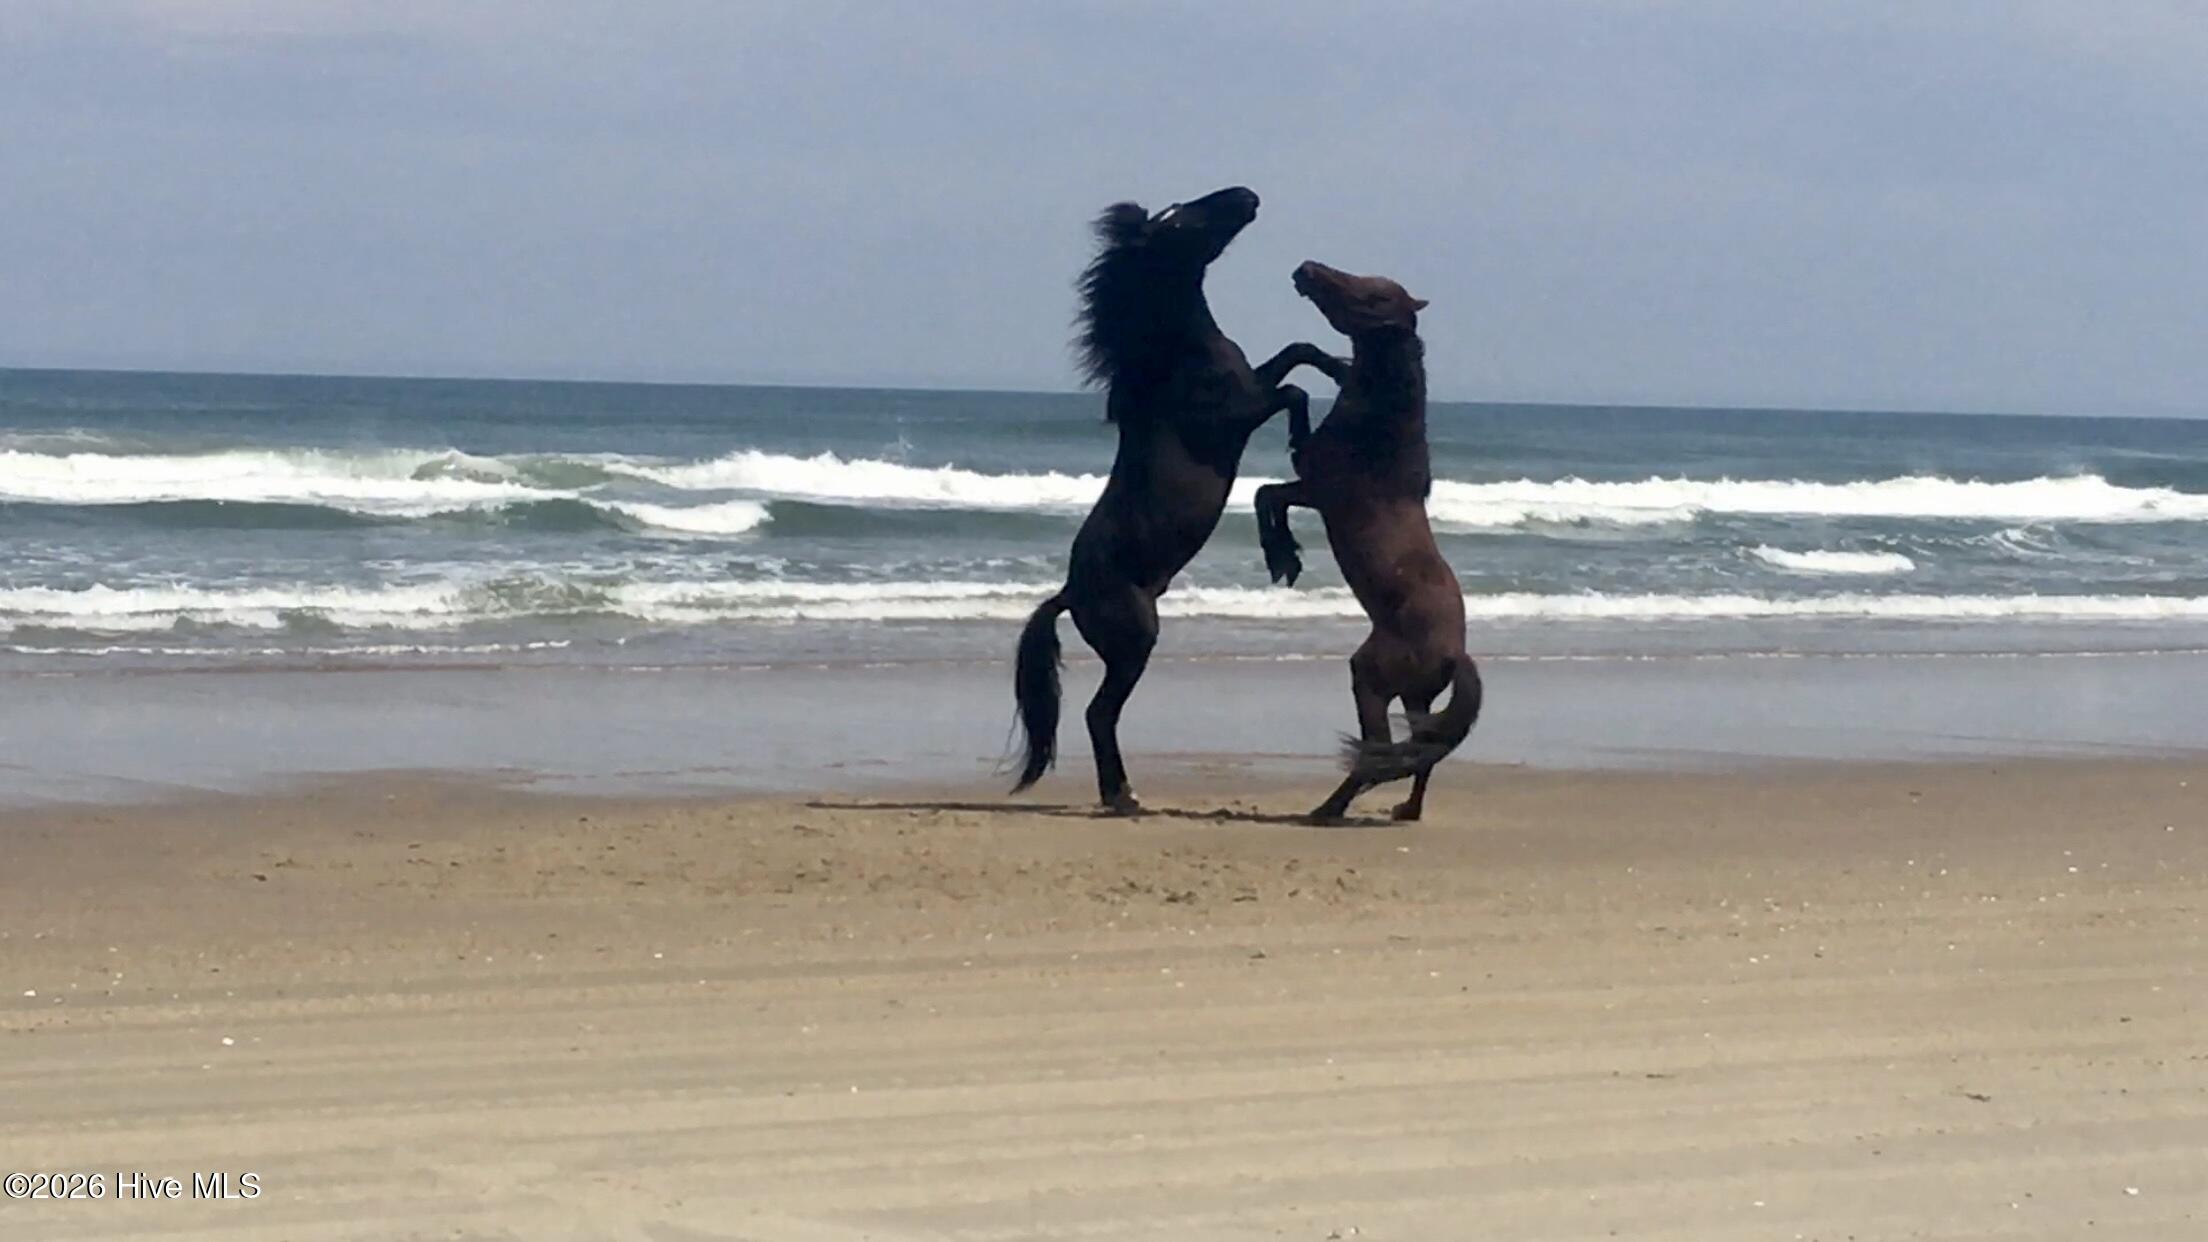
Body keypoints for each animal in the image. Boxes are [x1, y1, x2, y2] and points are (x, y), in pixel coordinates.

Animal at [1011, 187, 1333, 814]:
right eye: (1182, 221)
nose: (1247, 196)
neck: (1180, 358)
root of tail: (1069, 593)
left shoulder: (1252, 381)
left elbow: (1297, 352)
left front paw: (1344, 364)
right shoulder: (1235, 418)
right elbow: (1292, 390)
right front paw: (1299, 449)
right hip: (1136, 644)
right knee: (1099, 714)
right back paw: (1123, 796)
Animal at [1253, 261, 1482, 823]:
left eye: (1374, 298)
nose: (1306, 270)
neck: (1379, 432)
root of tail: (1455, 654)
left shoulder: (1313, 489)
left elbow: (1266, 494)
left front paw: (1282, 559)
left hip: (1371, 679)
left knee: (1378, 750)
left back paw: (1326, 810)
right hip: (1416, 700)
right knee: (1419, 753)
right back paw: (1405, 810)